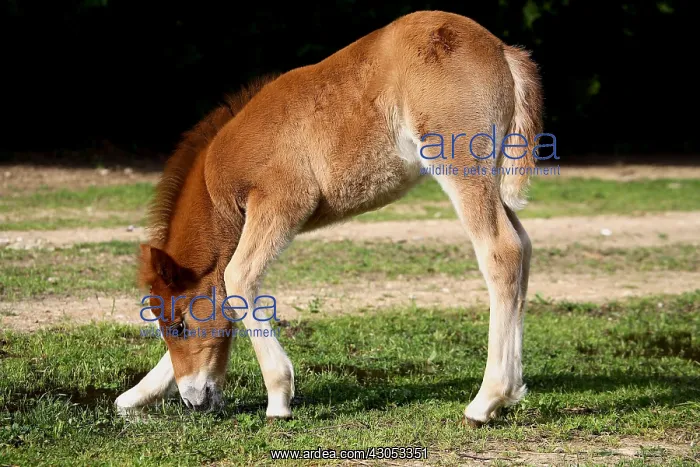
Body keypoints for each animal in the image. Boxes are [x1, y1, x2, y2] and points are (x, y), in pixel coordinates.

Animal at [114, 9, 543, 428]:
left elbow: (237, 277)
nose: (194, 399)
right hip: (490, 176)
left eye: (180, 325)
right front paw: (134, 397)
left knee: (501, 251)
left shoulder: (280, 202)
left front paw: (279, 397)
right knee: (522, 246)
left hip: (460, 164)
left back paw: (486, 401)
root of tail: (502, 51)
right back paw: (512, 392)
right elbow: (226, 290)